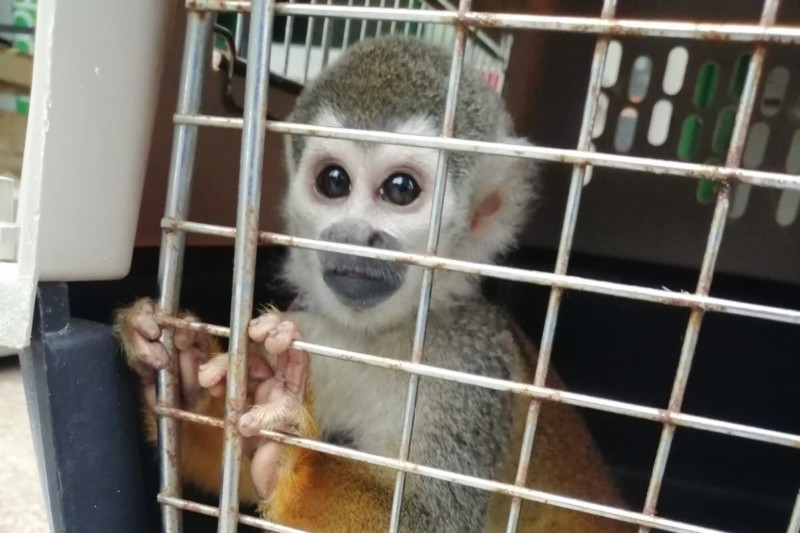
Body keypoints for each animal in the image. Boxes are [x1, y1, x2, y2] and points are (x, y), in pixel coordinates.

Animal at [116, 35, 634, 532]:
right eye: (334, 181)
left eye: (401, 189)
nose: (355, 236)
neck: (375, 336)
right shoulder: (316, 332)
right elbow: (240, 473)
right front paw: (181, 377)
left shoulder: (469, 369)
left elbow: (429, 521)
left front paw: (288, 447)